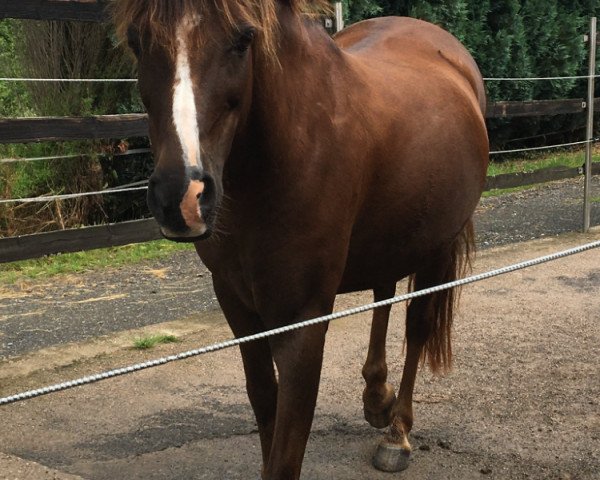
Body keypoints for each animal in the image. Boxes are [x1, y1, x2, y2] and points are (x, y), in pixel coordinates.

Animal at [113, 0, 488, 476]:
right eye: (136, 41)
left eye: (243, 39)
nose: (181, 196)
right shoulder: (235, 302)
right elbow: (264, 402)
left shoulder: (302, 321)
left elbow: (287, 445)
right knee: (383, 294)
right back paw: (376, 397)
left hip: (439, 247)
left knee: (417, 327)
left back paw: (397, 433)